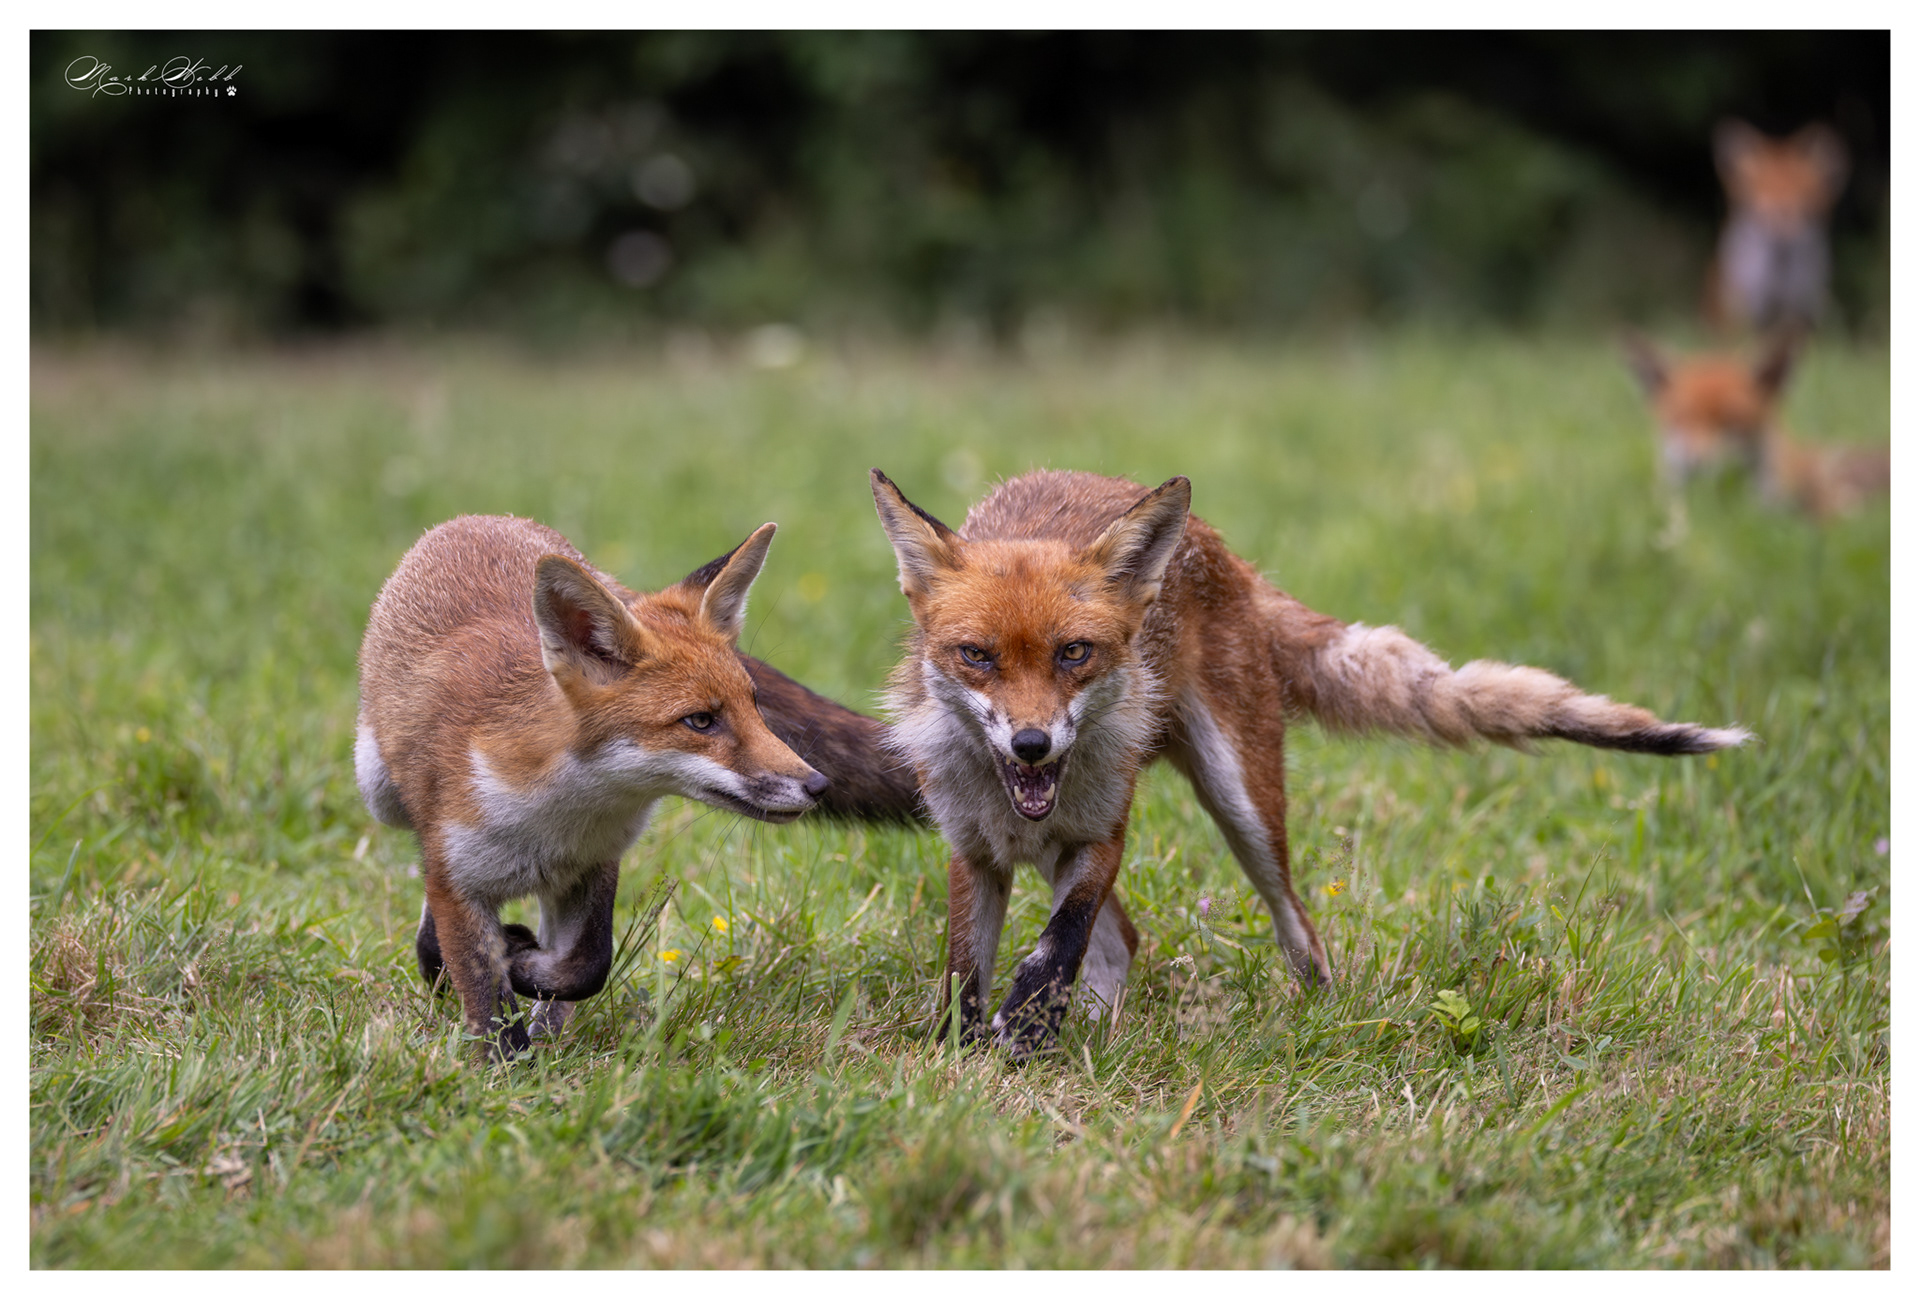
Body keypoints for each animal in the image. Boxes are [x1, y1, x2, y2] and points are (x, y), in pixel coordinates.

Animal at [357, 514, 921, 1059]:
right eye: (700, 721)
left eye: (754, 705)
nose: (818, 785)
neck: (550, 818)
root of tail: (475, 519)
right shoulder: (458, 881)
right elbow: (490, 1008)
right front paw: (508, 1073)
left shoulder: (592, 866)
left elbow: (584, 968)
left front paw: (525, 969)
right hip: (378, 791)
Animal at [870, 467, 1750, 1059]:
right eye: (977, 657)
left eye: (1073, 654)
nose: (1032, 745)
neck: (1017, 800)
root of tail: (1225, 552)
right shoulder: (973, 852)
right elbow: (966, 972)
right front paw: (965, 1055)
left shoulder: (1101, 833)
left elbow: (1058, 943)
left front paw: (1023, 1026)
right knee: (1126, 940)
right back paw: (1093, 1031)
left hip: (1243, 804)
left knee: (1295, 930)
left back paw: (1319, 1018)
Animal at [1709, 119, 1849, 333]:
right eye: (1761, 205)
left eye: (1802, 205)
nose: (1780, 238)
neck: (1778, 282)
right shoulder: (1742, 310)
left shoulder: (1801, 306)